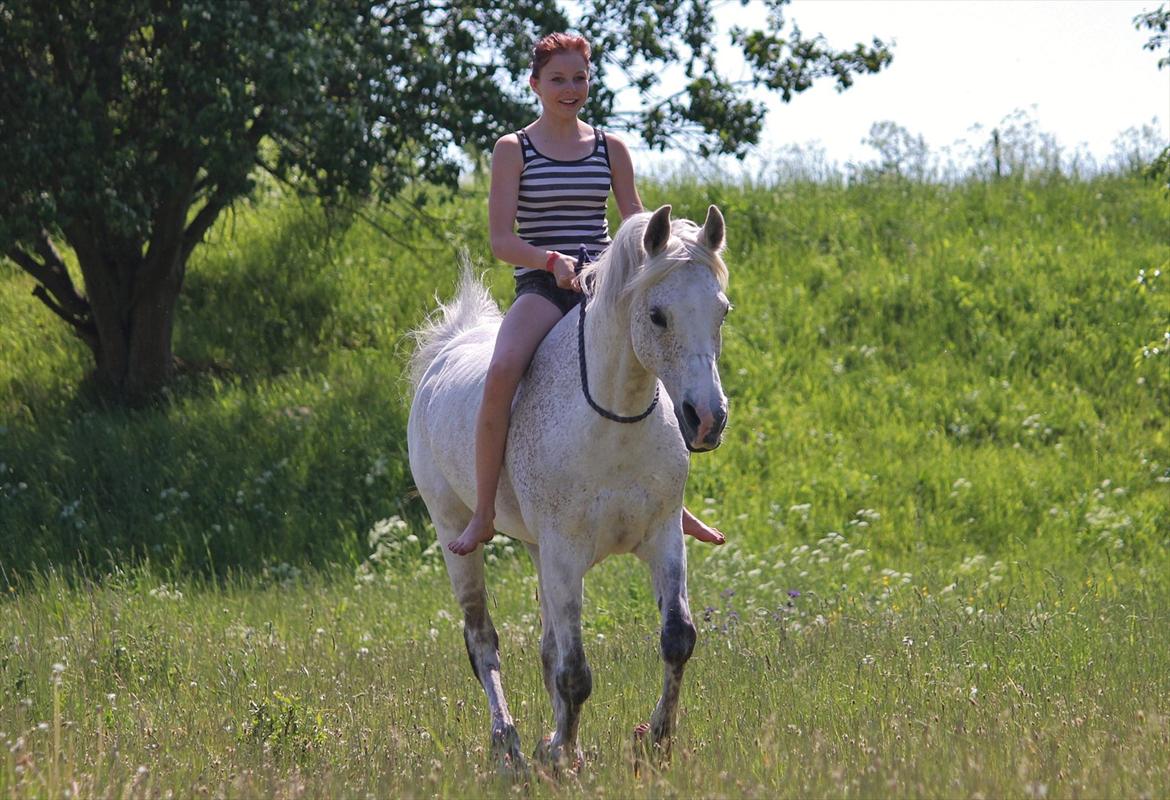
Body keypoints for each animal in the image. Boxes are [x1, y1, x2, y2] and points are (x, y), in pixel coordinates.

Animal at [407, 203, 725, 767]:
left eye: (722, 311)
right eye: (658, 315)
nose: (707, 419)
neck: (613, 424)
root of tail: (448, 345)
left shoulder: (662, 536)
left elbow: (676, 639)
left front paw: (655, 739)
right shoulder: (564, 553)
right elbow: (574, 672)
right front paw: (565, 756)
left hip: (538, 551)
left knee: (546, 645)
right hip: (453, 534)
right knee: (481, 640)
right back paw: (507, 740)